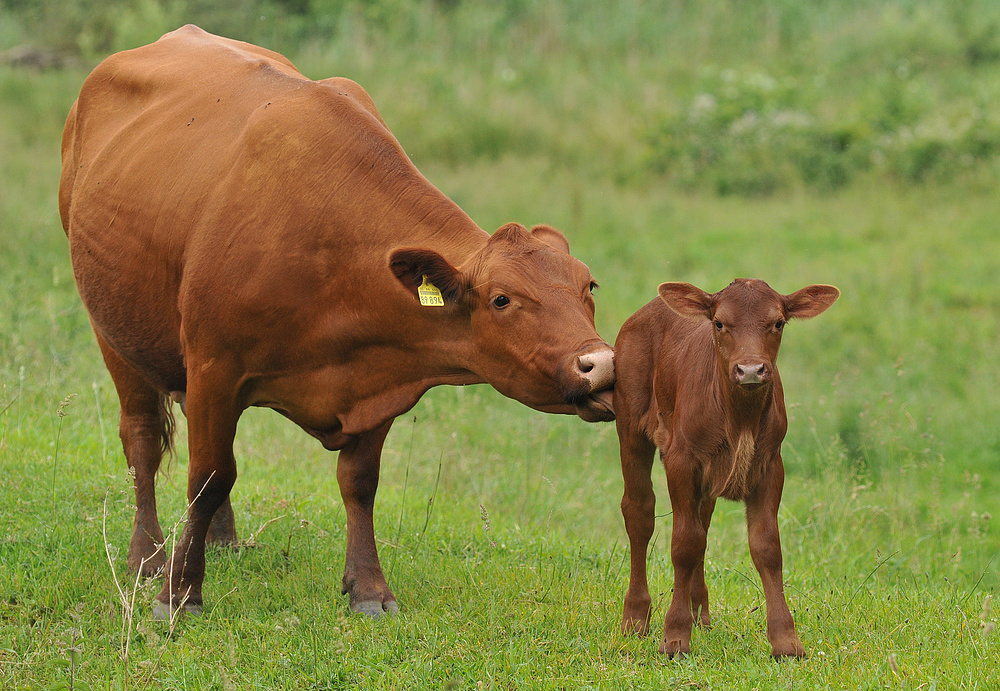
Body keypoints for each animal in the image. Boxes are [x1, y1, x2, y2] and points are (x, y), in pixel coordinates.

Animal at [60, 25, 616, 620]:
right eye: (502, 300)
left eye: (589, 286)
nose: (602, 364)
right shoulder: (215, 365)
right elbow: (207, 477)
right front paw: (179, 593)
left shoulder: (379, 376)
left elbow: (359, 483)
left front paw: (369, 589)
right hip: (114, 332)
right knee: (141, 439)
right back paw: (148, 558)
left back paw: (221, 539)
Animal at [612, 278, 840, 656]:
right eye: (719, 323)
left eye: (778, 323)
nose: (750, 370)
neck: (740, 418)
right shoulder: (682, 459)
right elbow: (684, 543)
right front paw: (675, 636)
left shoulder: (770, 465)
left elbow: (766, 546)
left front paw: (786, 640)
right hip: (630, 425)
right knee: (640, 512)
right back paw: (635, 618)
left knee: (701, 521)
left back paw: (699, 613)